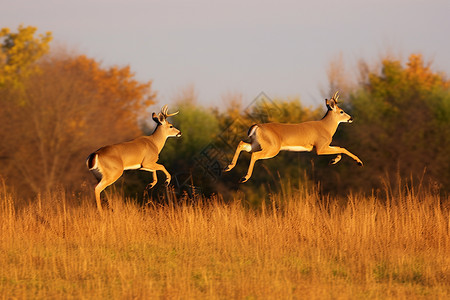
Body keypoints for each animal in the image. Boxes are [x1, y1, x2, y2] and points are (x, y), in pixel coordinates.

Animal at [223, 92, 364, 183]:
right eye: (341, 111)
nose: (351, 118)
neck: (326, 127)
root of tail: (256, 126)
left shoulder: (322, 146)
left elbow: (339, 148)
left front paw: (333, 160)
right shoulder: (319, 148)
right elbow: (342, 148)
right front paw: (359, 162)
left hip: (257, 144)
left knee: (242, 143)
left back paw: (228, 167)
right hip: (272, 148)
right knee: (254, 155)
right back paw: (244, 178)